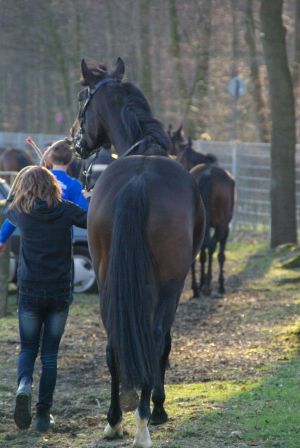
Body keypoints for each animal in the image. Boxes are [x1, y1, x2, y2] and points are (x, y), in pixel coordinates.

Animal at [71, 57, 205, 446]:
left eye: (83, 98)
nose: (76, 141)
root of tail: (139, 181)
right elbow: (164, 342)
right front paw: (157, 406)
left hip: (106, 276)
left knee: (115, 341)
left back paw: (115, 420)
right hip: (168, 283)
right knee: (156, 337)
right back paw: (145, 418)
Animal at [190, 164, 234, 298]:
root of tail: (207, 174)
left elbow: (202, 252)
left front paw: (201, 281)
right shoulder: (225, 228)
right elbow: (220, 255)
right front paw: (220, 285)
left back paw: (196, 288)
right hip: (222, 224)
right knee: (212, 246)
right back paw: (208, 285)